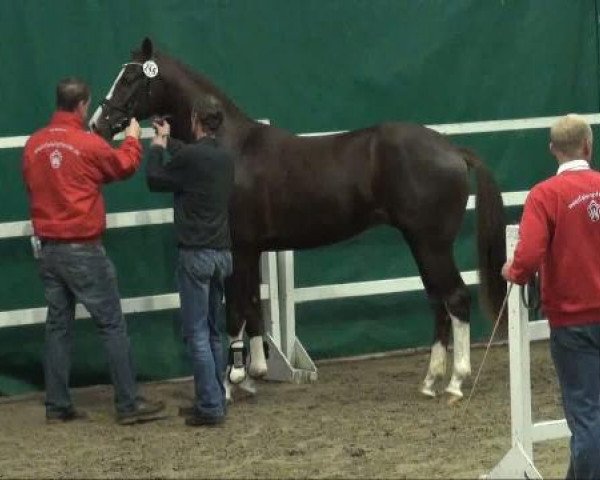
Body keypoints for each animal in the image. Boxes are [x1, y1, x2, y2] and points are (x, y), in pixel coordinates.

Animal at [92, 37, 506, 400]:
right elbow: (253, 306)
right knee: (438, 301)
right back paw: (431, 381)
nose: (99, 123)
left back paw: (455, 383)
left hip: (431, 243)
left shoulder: (239, 248)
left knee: (455, 298)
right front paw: (253, 375)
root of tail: (452, 149)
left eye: (130, 78)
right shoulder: (253, 250)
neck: (231, 148)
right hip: (421, 243)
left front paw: (230, 382)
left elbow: (236, 309)